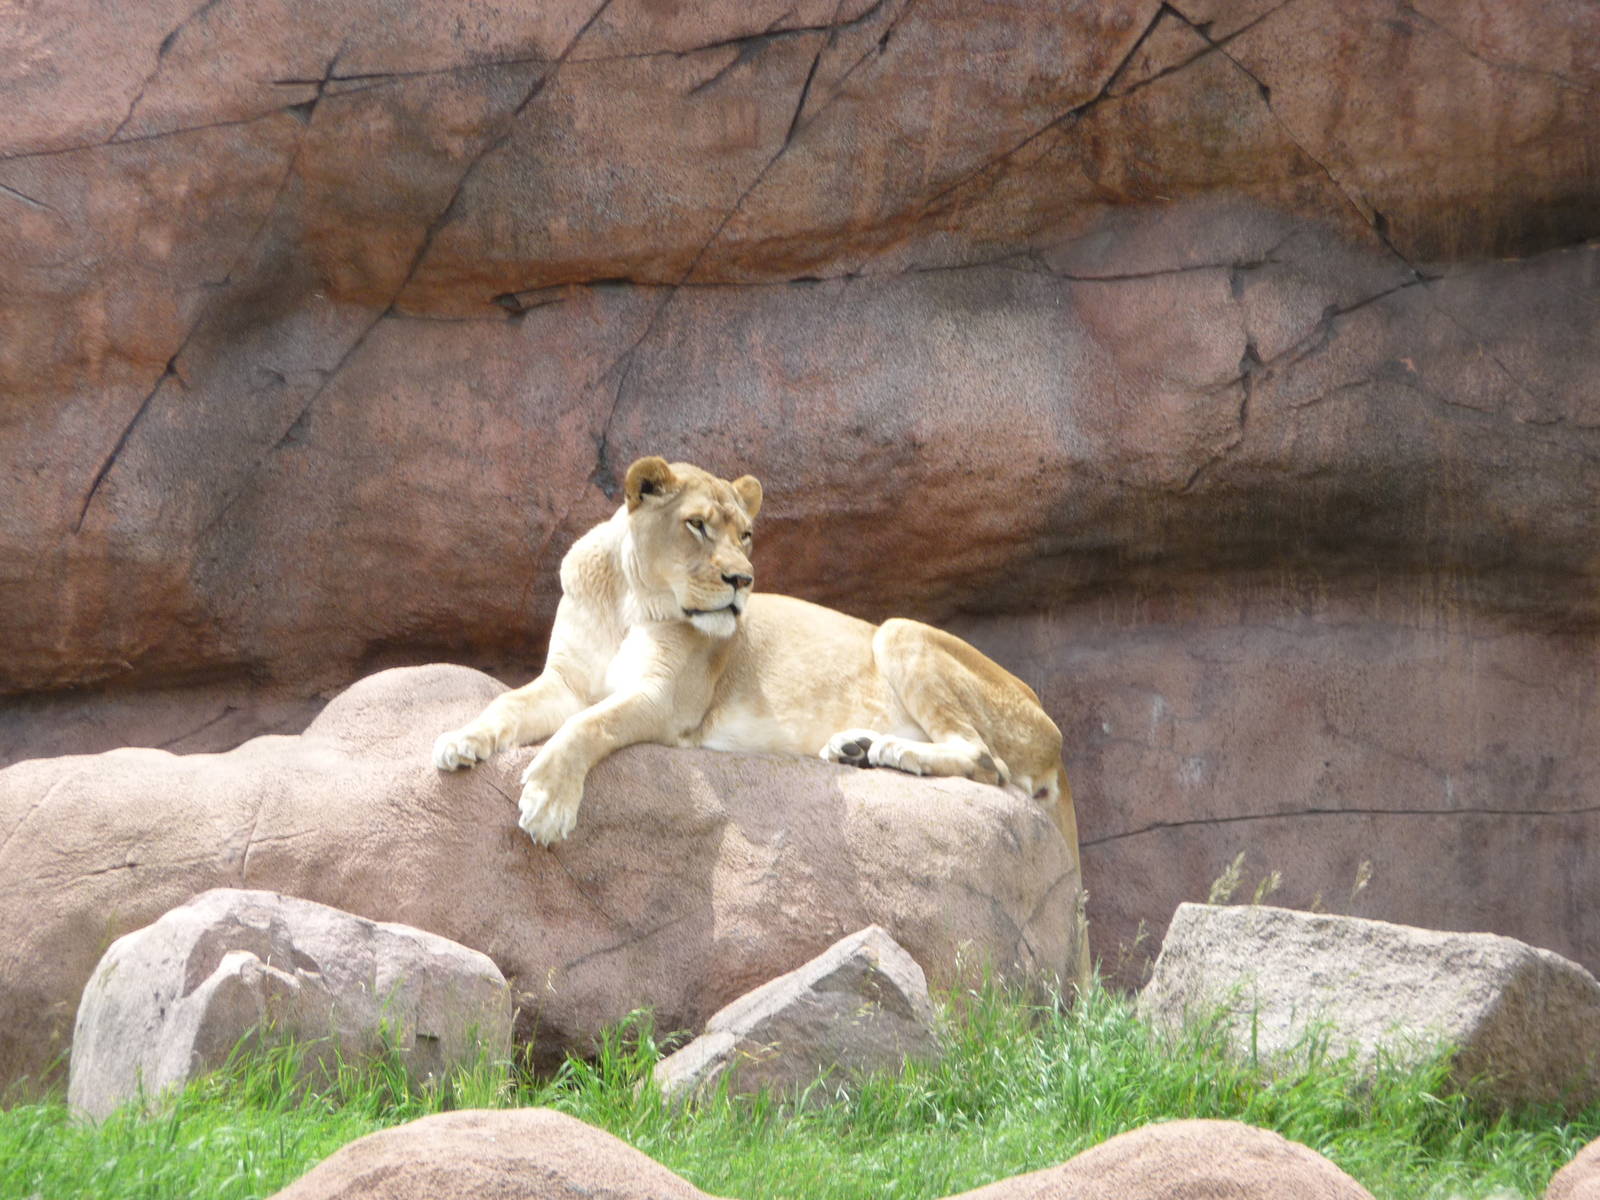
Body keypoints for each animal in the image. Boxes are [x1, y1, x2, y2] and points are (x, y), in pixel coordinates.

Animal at [433, 456, 1080, 863]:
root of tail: (1056, 738)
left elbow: (590, 724)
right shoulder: (565, 680)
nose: (743, 580)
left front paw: (547, 803)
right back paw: (859, 748)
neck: (628, 599)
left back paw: (894, 752)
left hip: (902, 631)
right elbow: (506, 703)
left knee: (986, 761)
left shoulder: (667, 702)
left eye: (745, 534)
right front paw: (460, 741)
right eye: (696, 525)